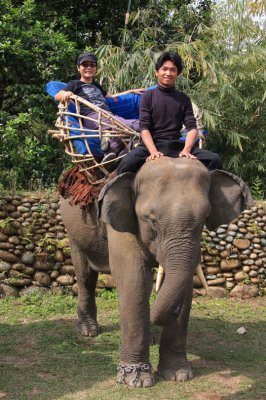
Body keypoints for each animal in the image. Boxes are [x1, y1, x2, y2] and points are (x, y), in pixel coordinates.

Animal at [59, 156, 252, 388]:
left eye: (205, 217)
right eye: (151, 219)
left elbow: (184, 286)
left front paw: (178, 374)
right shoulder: (121, 222)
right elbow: (133, 280)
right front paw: (137, 380)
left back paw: (149, 339)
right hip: (73, 230)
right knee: (85, 275)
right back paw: (88, 331)